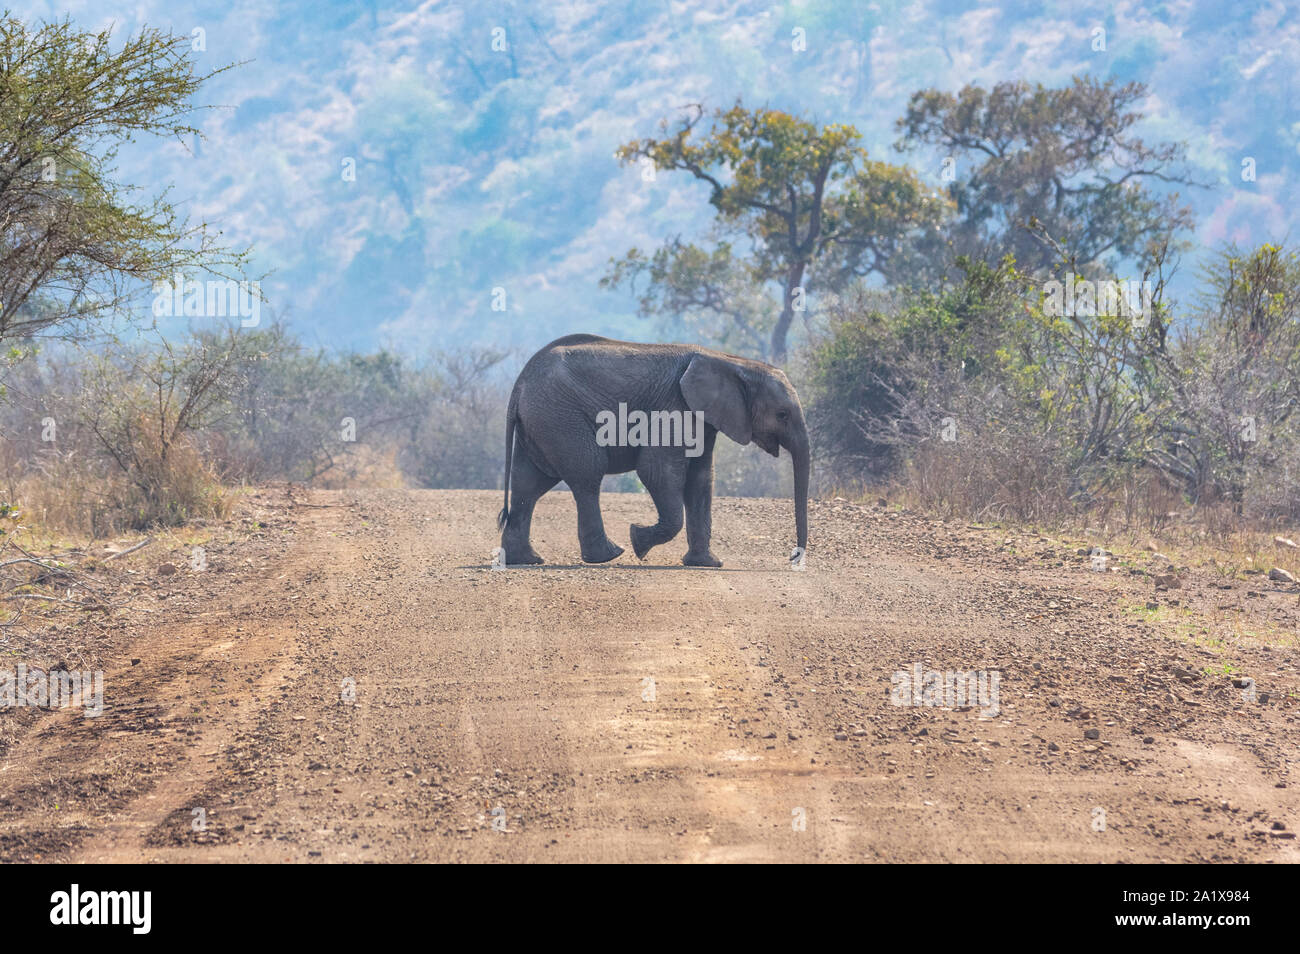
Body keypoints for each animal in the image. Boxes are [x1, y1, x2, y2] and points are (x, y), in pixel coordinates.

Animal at [493, 337, 806, 566]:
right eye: (782, 415)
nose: (793, 558)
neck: (730, 361)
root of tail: (519, 385)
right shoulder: (675, 407)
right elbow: (658, 472)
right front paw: (638, 542)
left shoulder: (703, 417)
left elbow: (701, 479)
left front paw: (707, 564)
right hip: (560, 418)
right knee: (587, 475)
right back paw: (609, 555)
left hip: (540, 423)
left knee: (528, 484)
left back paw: (526, 560)